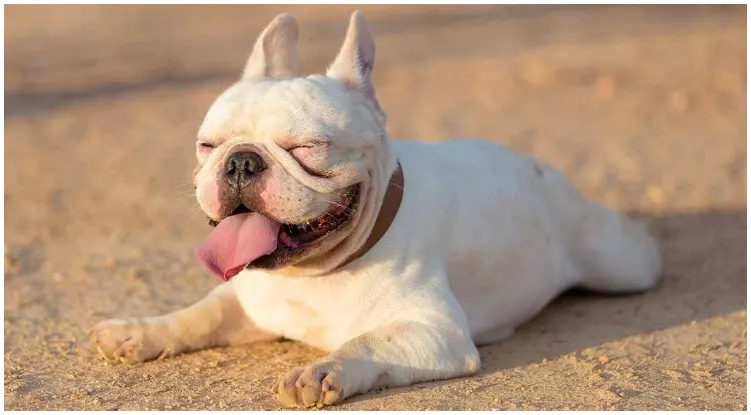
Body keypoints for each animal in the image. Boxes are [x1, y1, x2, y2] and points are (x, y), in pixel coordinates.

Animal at [89, 10, 664, 410]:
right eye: (208, 146)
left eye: (307, 147)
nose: (241, 162)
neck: (310, 276)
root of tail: (534, 166)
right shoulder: (247, 300)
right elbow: (198, 314)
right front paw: (140, 330)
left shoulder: (434, 332)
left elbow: (367, 340)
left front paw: (322, 371)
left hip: (620, 265)